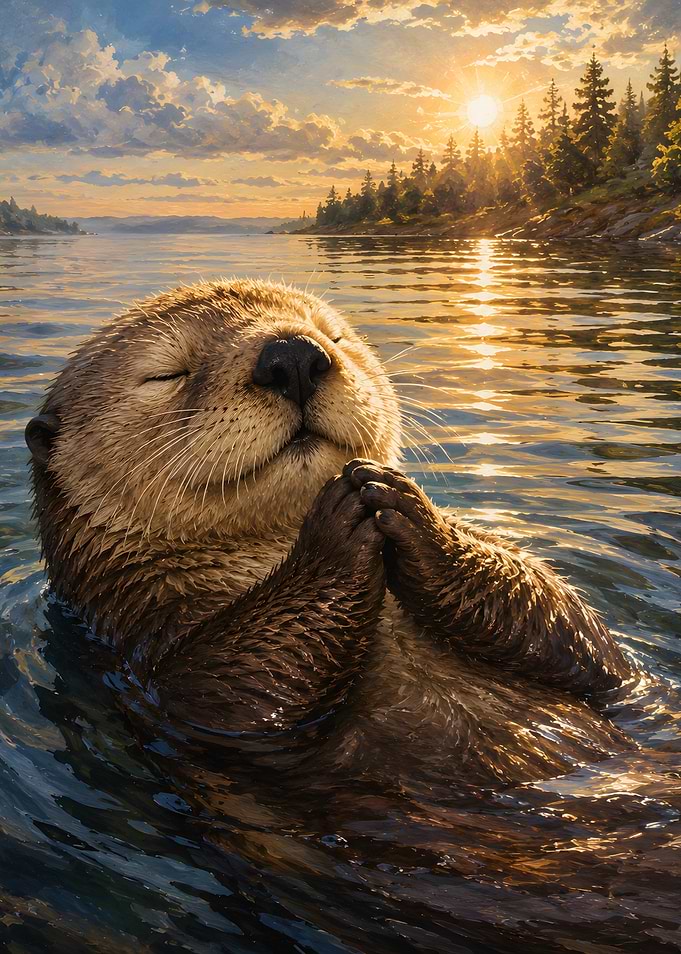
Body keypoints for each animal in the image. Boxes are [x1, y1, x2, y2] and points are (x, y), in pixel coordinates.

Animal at [25, 278, 637, 786]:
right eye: (167, 373)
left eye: (334, 335)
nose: (293, 355)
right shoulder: (143, 645)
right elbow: (224, 690)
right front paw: (338, 525)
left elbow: (578, 631)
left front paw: (401, 502)